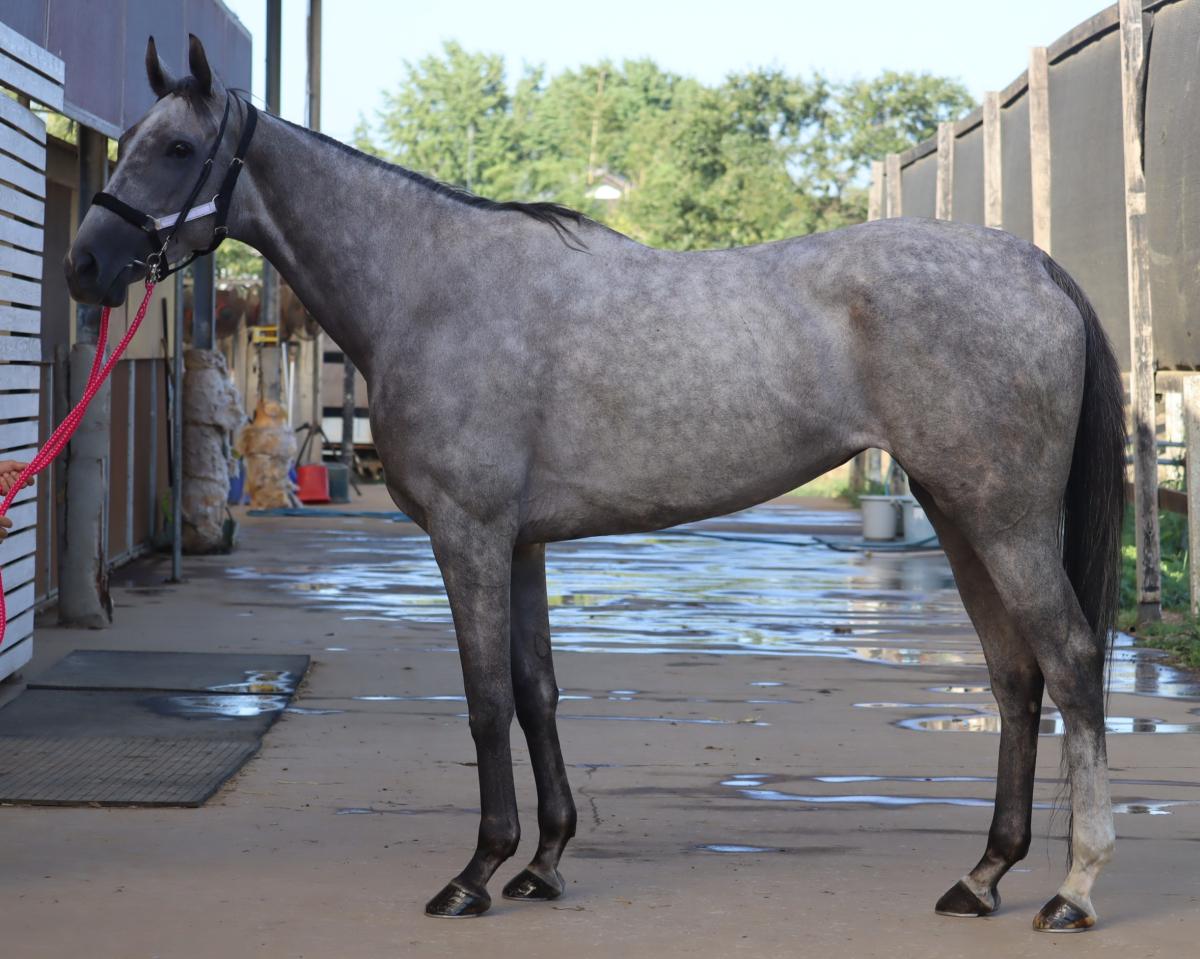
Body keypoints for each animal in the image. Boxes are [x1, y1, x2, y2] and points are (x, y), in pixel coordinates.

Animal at [65, 36, 1126, 932]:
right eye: (133, 141)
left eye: (177, 146)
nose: (84, 266)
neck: (430, 287)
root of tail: (1034, 265)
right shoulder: (524, 543)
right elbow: (537, 689)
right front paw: (543, 861)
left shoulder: (469, 535)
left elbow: (485, 697)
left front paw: (475, 872)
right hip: (957, 509)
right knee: (1015, 672)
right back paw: (983, 875)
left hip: (1003, 516)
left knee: (1070, 659)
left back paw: (1074, 887)